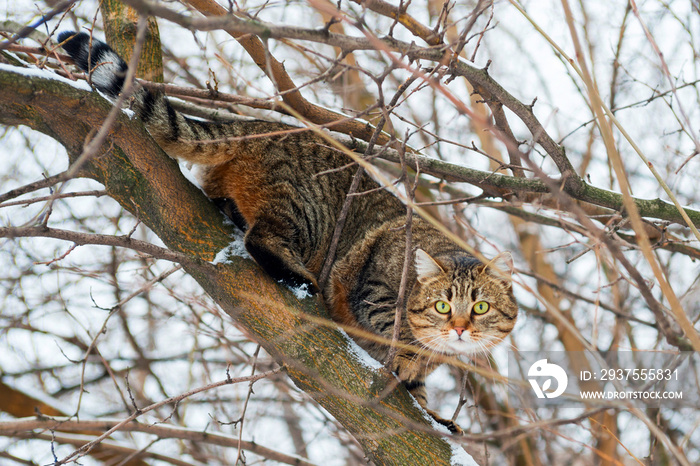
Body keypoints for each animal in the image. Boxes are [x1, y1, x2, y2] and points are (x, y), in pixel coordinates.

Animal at [58, 31, 520, 434]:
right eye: (443, 306)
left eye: (480, 308)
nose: (459, 328)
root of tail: (257, 127)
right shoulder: (375, 280)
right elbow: (392, 326)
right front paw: (406, 356)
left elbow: (420, 394)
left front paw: (432, 413)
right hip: (307, 212)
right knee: (262, 238)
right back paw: (293, 271)